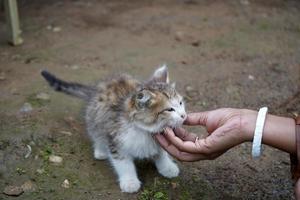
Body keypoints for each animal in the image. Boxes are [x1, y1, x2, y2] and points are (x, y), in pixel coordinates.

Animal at [41, 65, 186, 192]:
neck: (144, 131)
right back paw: (100, 150)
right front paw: (130, 182)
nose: (184, 116)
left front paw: (167, 167)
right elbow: (124, 164)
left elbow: (161, 153)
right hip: (95, 118)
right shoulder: (115, 140)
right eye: (169, 109)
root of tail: (96, 88)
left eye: (180, 103)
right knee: (96, 133)